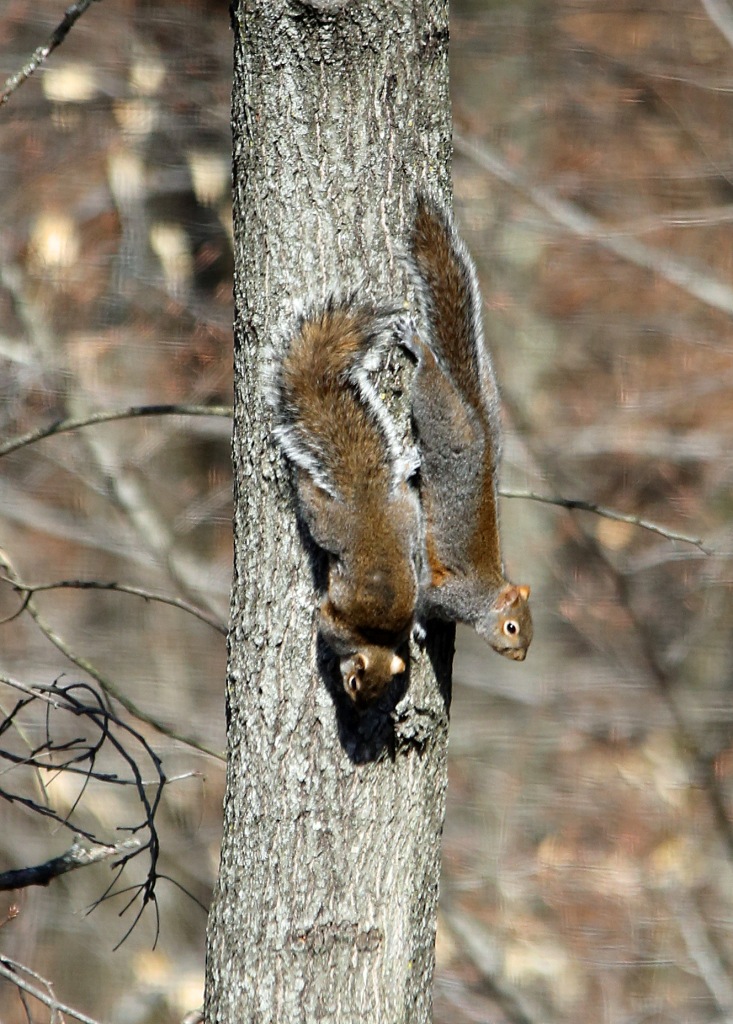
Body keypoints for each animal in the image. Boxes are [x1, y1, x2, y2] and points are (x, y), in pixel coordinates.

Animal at [267, 296, 422, 707]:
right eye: (354, 682)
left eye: (376, 691)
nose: (356, 704)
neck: (376, 641)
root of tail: (365, 497)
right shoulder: (335, 625)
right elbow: (323, 616)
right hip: (343, 522)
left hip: (397, 516)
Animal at [405, 194, 533, 660]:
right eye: (512, 627)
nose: (520, 656)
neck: (485, 596)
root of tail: (478, 422)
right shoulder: (448, 592)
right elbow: (423, 600)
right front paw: (419, 625)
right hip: (442, 418)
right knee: (430, 382)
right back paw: (419, 349)